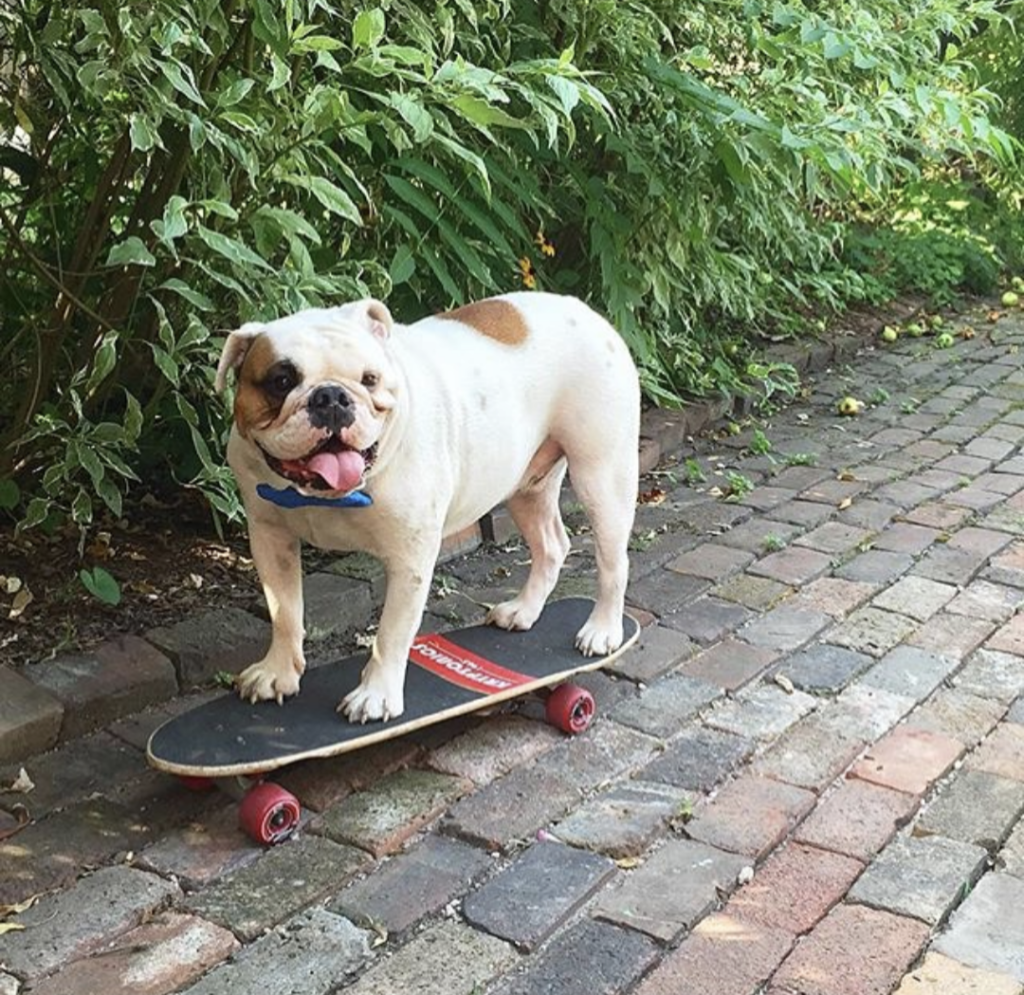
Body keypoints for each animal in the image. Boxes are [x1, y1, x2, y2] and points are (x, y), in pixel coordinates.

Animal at [216, 292, 638, 724]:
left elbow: (392, 631)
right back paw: (524, 610)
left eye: (370, 379)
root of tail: (584, 310)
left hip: (602, 476)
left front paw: (376, 695)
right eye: (281, 381)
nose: (331, 397)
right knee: (551, 546)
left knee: (612, 561)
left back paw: (602, 630)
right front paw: (277, 673)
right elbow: (283, 610)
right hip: (526, 486)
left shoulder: (410, 560)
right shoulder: (270, 537)